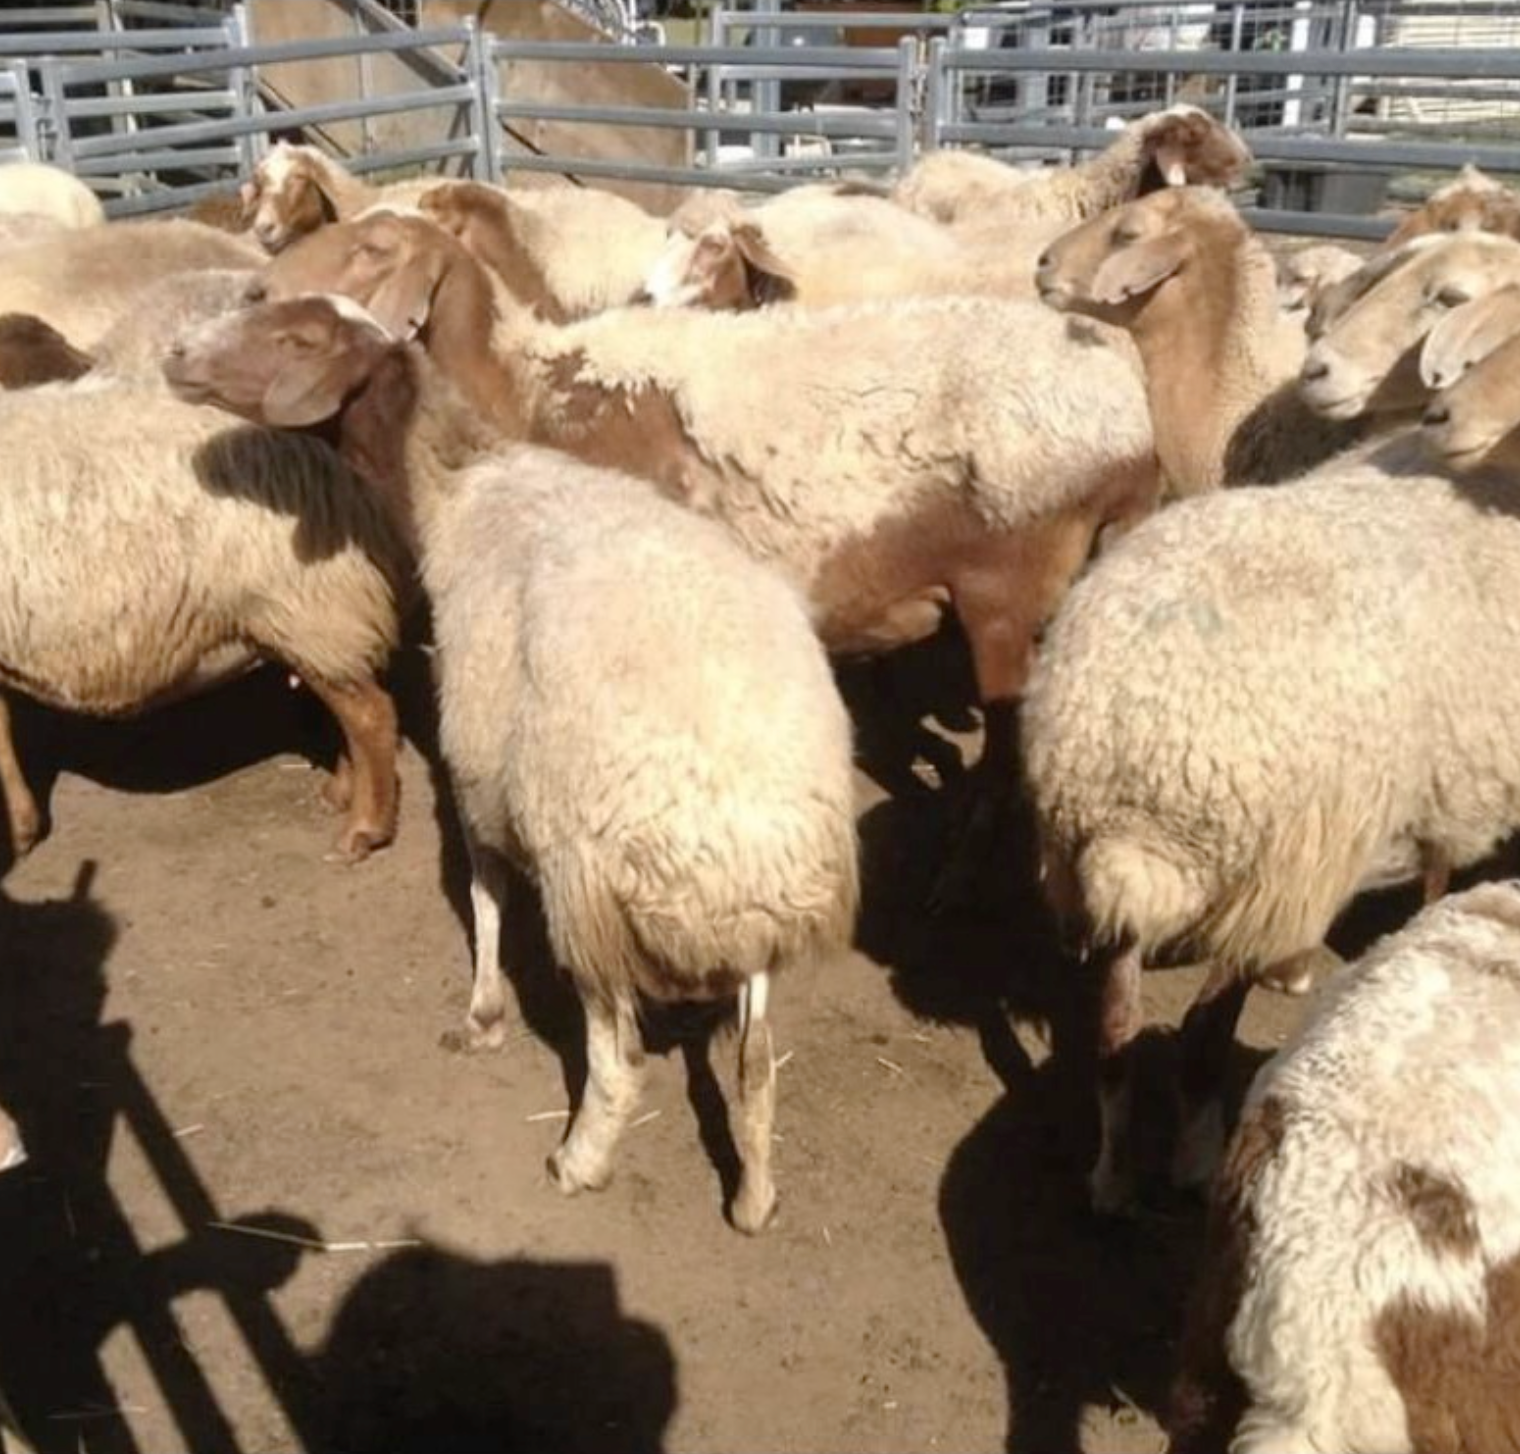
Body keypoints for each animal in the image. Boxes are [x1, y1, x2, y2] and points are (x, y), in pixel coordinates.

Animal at [0, 374, 406, 861]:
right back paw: (341, 793)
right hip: (312, 621)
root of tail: (335, 468)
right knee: (347, 709)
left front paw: (16, 834)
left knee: (371, 716)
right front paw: (20, 828)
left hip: (311, 611)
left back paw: (364, 829)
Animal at [164, 291, 861, 1234]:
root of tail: (750, 844)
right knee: (754, 1071)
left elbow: (484, 888)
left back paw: (579, 1159)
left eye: (298, 339)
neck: (458, 487)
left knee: (619, 1058)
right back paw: (753, 1200)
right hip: (754, 937)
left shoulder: (477, 757)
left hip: (587, 884)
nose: (175, 353)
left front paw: (482, 1014)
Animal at [258, 209, 1159, 895]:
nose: (259, 290)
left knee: (1004, 763)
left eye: (375, 248)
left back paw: (957, 879)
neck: (528, 388)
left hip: (1005, 593)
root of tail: (1130, 424)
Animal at [1024, 434, 1520, 1212]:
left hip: (1100, 868)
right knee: (1200, 1033)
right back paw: (1196, 1157)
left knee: (1114, 1037)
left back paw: (1110, 1182)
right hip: (1267, 871)